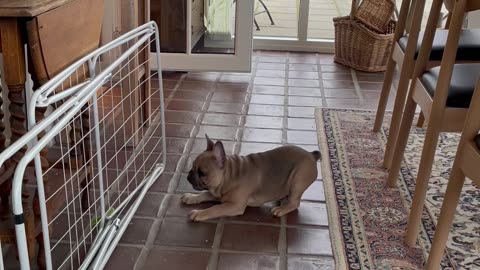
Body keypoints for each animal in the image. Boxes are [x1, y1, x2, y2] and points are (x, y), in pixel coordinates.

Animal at [182, 134, 320, 220]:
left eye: (202, 173)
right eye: (192, 167)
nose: (188, 176)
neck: (229, 176)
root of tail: (311, 155)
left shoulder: (234, 205)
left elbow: (214, 208)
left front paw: (199, 213)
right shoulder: (217, 194)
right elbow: (204, 194)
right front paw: (191, 197)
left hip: (298, 180)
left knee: (295, 202)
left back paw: (282, 208)